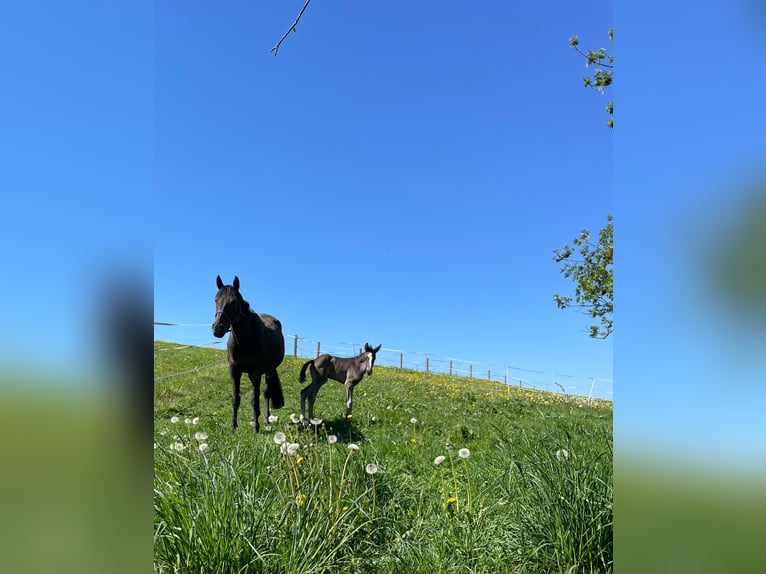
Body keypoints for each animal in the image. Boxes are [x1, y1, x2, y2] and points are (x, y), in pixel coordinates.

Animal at [212, 275, 285, 432]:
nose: (218, 329)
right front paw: (233, 426)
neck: (245, 338)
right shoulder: (234, 371)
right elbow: (235, 399)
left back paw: (265, 419)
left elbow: (254, 400)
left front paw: (256, 428)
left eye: (233, 302)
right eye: (215, 300)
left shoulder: (256, 372)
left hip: (269, 370)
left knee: (266, 393)